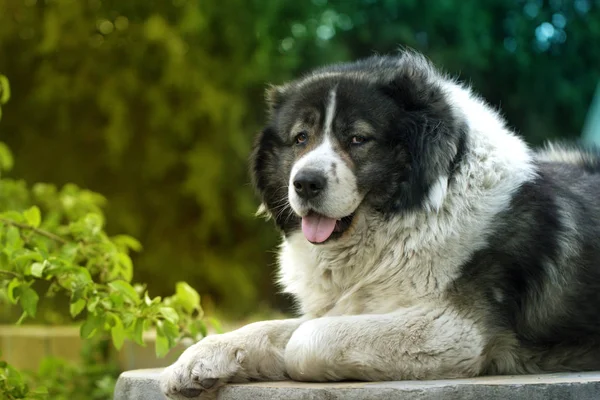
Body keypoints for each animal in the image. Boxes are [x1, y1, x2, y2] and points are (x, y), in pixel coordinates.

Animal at [159, 51, 600, 398]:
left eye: (357, 139)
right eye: (300, 138)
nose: (305, 182)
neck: (409, 217)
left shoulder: (454, 329)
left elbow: (305, 341)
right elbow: (265, 328)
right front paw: (199, 359)